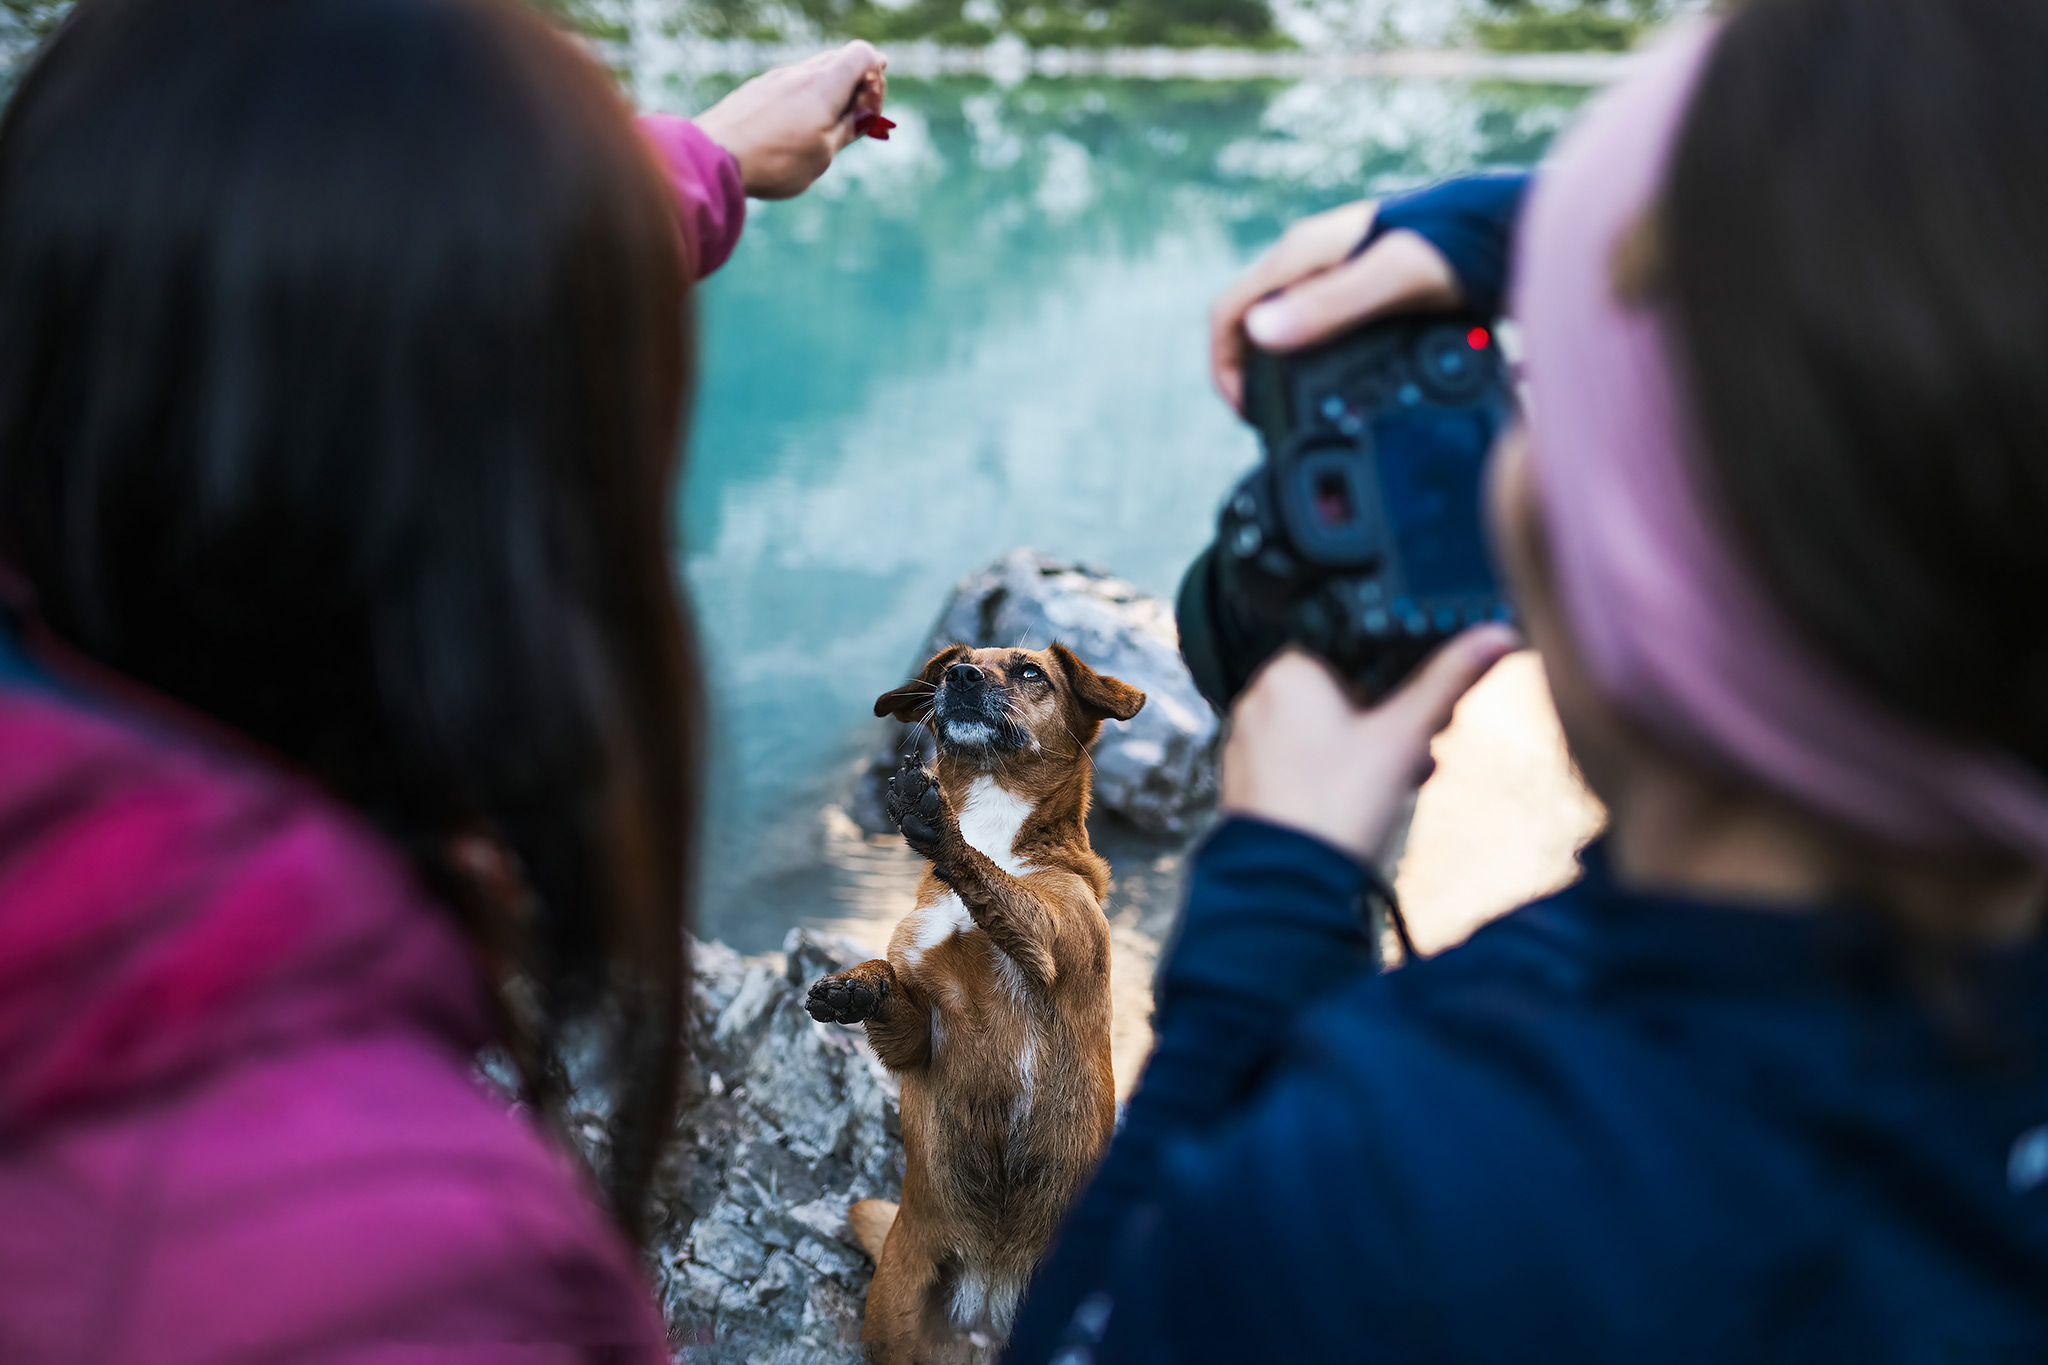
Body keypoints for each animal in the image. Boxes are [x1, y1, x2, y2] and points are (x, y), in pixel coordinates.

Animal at [802, 642, 1155, 1365]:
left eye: (1030, 671)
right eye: (949, 668)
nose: (960, 678)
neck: (998, 827)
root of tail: (988, 1312)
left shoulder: (1049, 940)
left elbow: (994, 887)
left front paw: (942, 829)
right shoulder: (916, 1039)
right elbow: (892, 989)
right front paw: (855, 984)